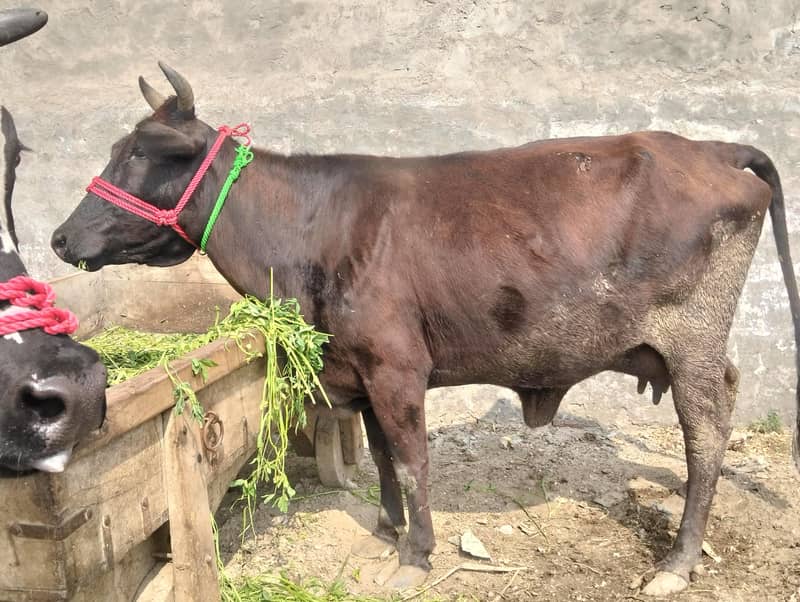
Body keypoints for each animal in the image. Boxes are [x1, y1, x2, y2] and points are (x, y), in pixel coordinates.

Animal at [51, 63, 799, 596]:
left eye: (143, 152)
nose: (60, 238)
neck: (311, 228)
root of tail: (711, 147)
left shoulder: (397, 366)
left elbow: (412, 460)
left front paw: (415, 553)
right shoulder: (360, 368)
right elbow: (384, 454)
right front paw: (388, 527)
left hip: (691, 339)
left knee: (706, 434)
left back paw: (678, 558)